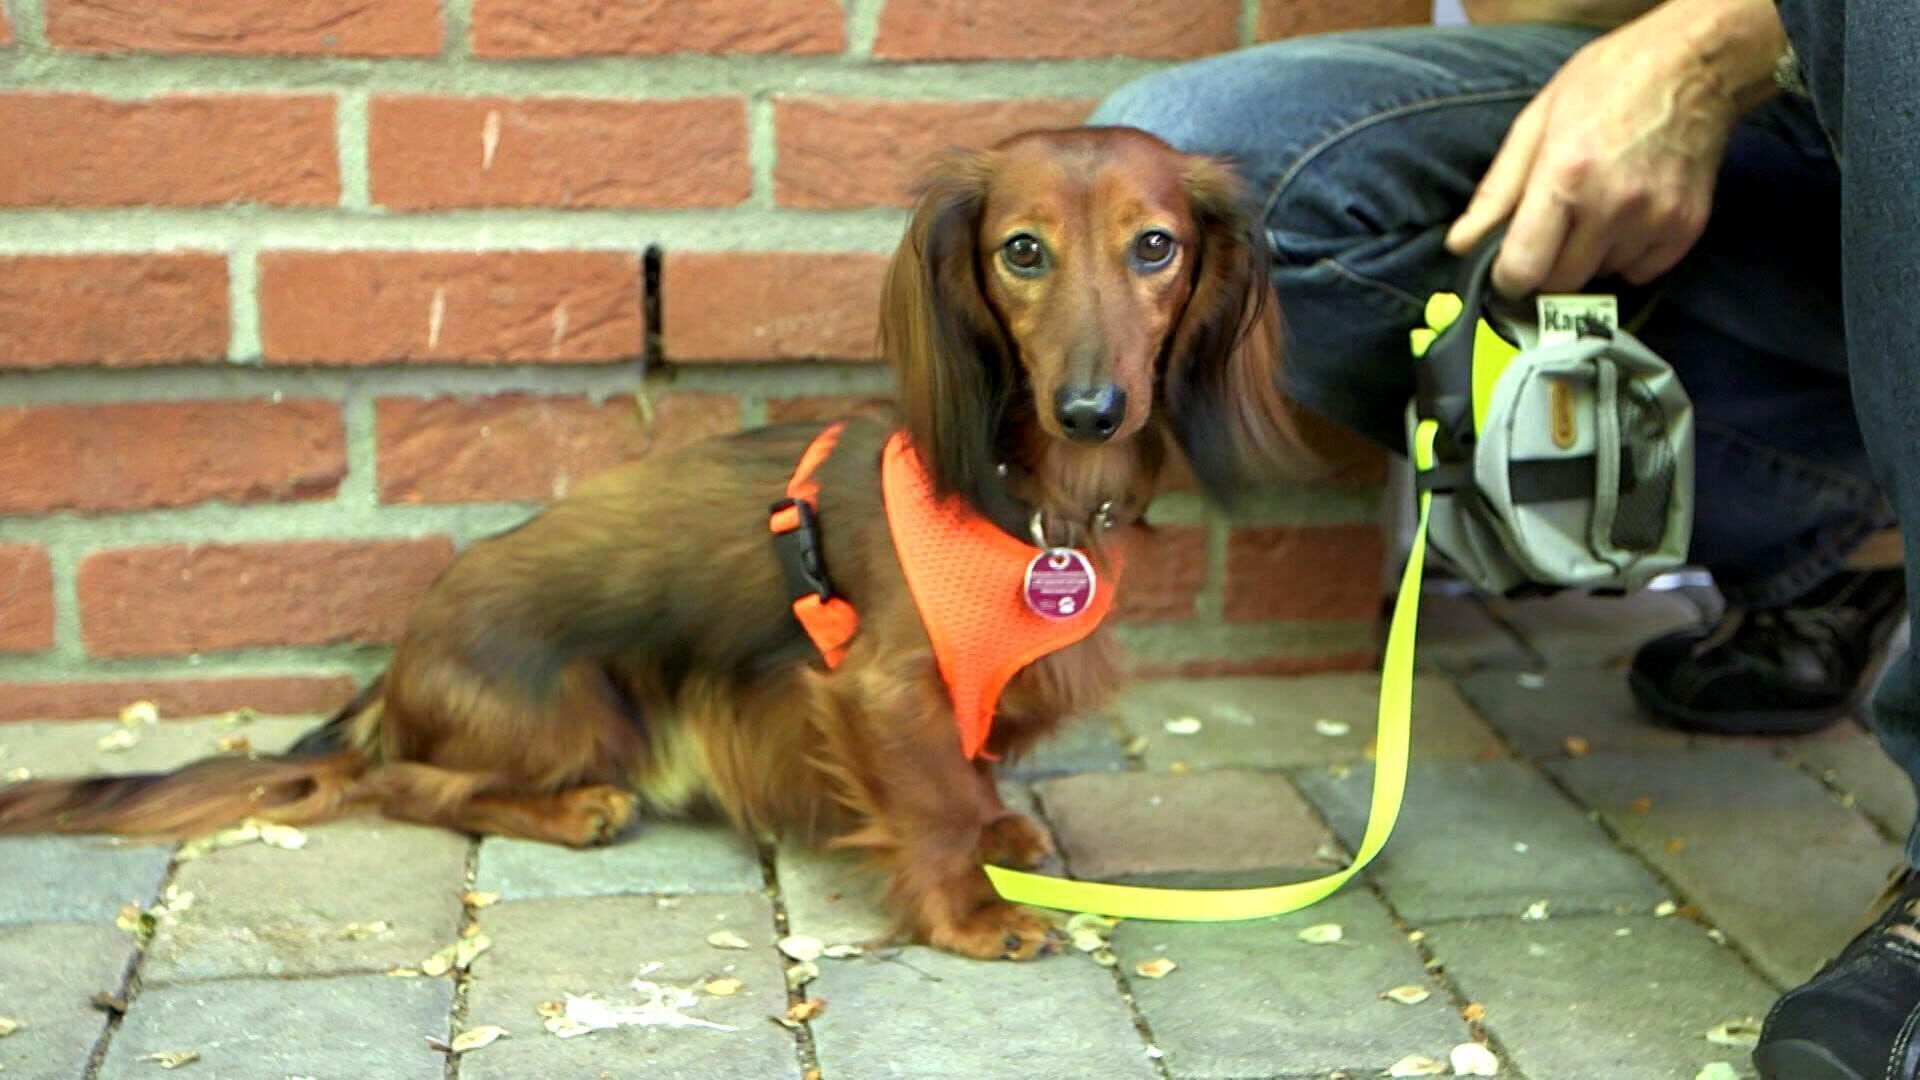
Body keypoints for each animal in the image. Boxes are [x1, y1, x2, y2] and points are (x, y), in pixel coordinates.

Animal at [0, 127, 1305, 957]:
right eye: (1021, 251)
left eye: (1155, 246)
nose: (1092, 407)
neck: (1029, 505)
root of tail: (396, 669)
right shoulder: (877, 686)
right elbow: (931, 794)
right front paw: (972, 912)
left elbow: (971, 771)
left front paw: (1003, 836)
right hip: (576, 708)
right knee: (407, 784)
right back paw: (574, 810)